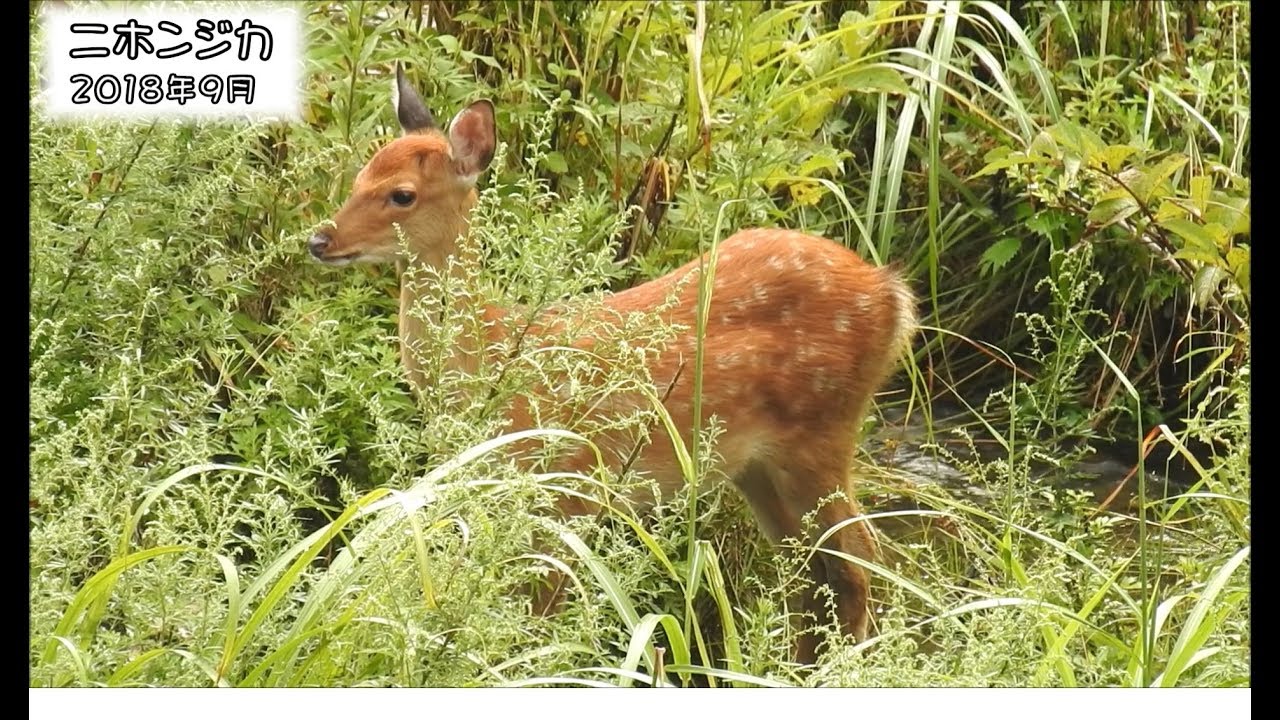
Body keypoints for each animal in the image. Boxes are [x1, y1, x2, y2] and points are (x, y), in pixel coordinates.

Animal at [306, 64, 918, 666]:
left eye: (401, 195)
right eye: (360, 175)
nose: (319, 239)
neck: (493, 362)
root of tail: (891, 295)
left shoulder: (568, 489)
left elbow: (538, 619)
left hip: (822, 432)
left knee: (861, 560)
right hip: (756, 465)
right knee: (814, 569)